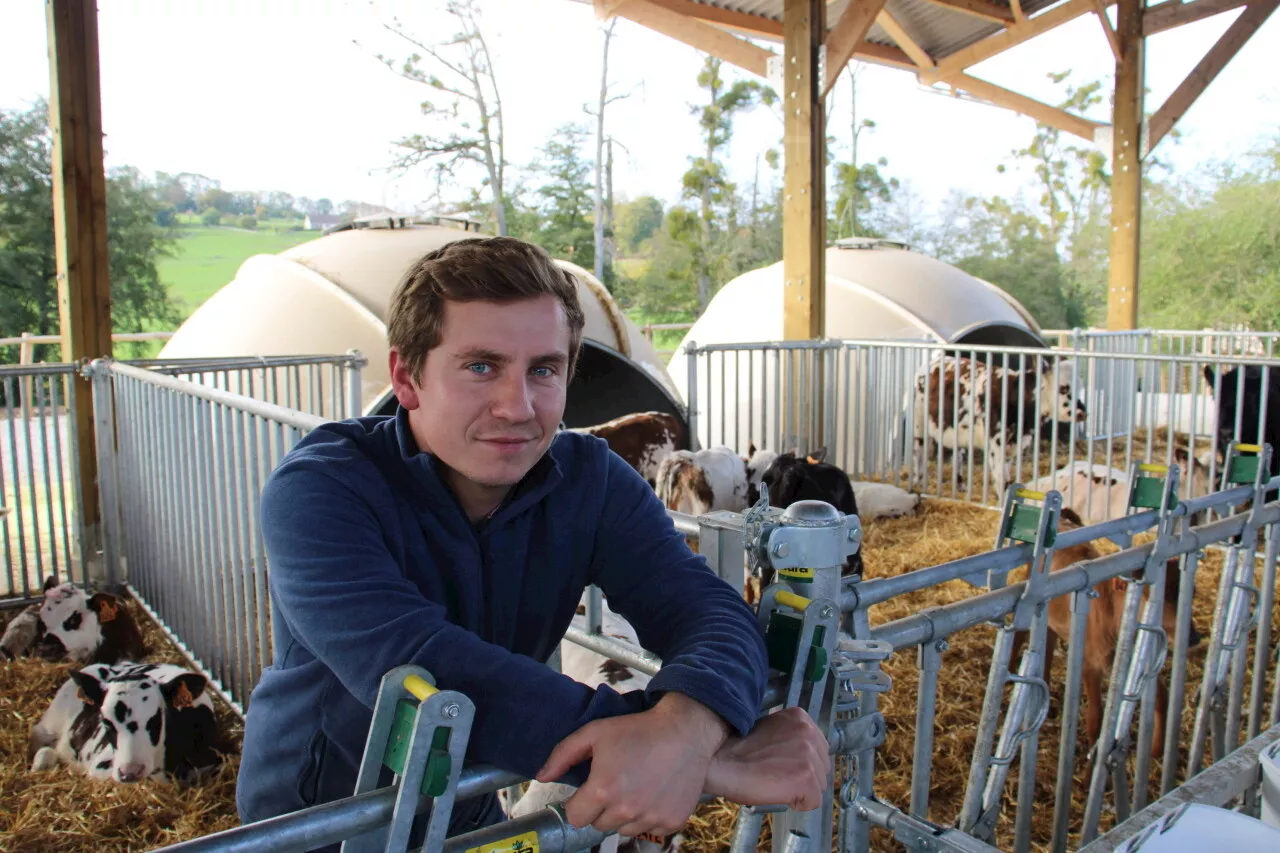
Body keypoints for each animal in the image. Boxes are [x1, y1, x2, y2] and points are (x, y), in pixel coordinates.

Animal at [906, 350, 1085, 499]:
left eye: (1081, 388)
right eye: (1063, 389)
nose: (1082, 413)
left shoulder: (1014, 446)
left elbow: (1006, 476)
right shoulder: (996, 445)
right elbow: (1000, 479)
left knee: (957, 455)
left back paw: (960, 485)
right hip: (919, 425)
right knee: (918, 452)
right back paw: (918, 482)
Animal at [1008, 507, 1198, 753]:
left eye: (1192, 591)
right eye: (1150, 594)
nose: (1193, 637)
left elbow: (1161, 697)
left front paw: (1156, 750)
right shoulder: (1091, 663)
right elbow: (1096, 717)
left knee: (1047, 648)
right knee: (1019, 637)